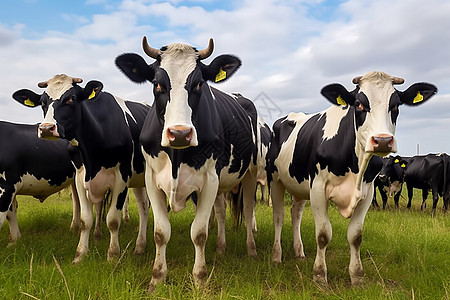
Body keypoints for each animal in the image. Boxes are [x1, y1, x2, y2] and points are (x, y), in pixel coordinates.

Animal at [13, 74, 150, 262]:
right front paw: (80, 254)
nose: (46, 128)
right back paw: (138, 246)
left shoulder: (122, 178)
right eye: (42, 102)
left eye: (71, 98)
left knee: (146, 207)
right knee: (142, 206)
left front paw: (113, 255)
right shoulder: (79, 178)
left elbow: (113, 220)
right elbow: (86, 219)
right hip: (138, 179)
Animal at [114, 35, 258, 290]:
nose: (179, 133)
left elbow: (199, 232)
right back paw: (221, 247)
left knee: (249, 209)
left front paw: (199, 277)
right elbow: (161, 232)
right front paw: (157, 277)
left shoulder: (210, 179)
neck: (177, 157)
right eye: (157, 84)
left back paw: (251, 250)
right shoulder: (152, 179)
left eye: (199, 84)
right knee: (221, 211)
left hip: (250, 172)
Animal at [268, 71, 438, 288]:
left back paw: (299, 252)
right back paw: (276, 256)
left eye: (396, 105)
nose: (382, 140)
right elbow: (323, 235)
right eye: (359, 104)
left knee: (295, 214)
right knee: (279, 216)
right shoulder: (318, 189)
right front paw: (320, 276)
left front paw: (357, 277)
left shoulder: (367, 193)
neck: (355, 166)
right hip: (275, 180)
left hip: (298, 185)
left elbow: (355, 236)